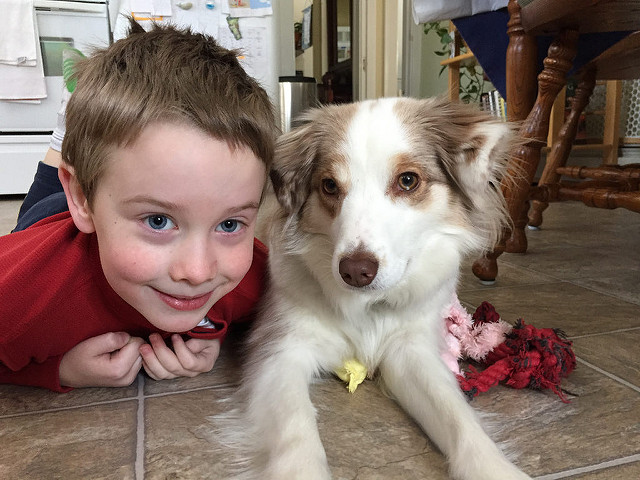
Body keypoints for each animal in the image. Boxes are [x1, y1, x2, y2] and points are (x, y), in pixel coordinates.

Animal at [221, 97, 530, 480]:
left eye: (408, 181)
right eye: (329, 185)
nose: (356, 272)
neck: (368, 309)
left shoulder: (410, 351)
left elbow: (456, 414)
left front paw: (496, 468)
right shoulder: (281, 351)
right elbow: (297, 429)